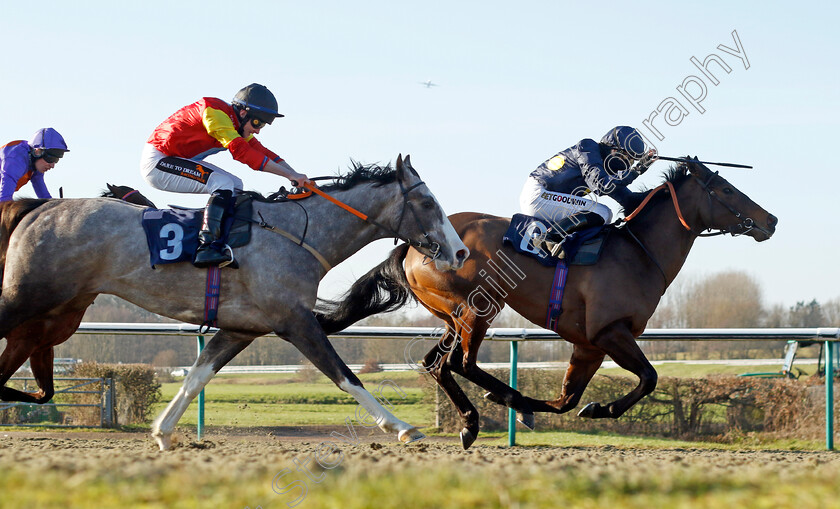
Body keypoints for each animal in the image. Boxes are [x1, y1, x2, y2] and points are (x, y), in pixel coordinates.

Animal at [316, 160, 780, 448]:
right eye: (724, 189)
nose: (771, 220)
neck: (638, 251)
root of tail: (413, 245)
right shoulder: (609, 332)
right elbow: (649, 378)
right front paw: (596, 407)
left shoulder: (589, 344)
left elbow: (568, 399)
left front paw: (574, 407)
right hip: (478, 308)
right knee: (460, 363)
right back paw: (496, 408)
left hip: (452, 315)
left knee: (437, 363)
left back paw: (481, 416)